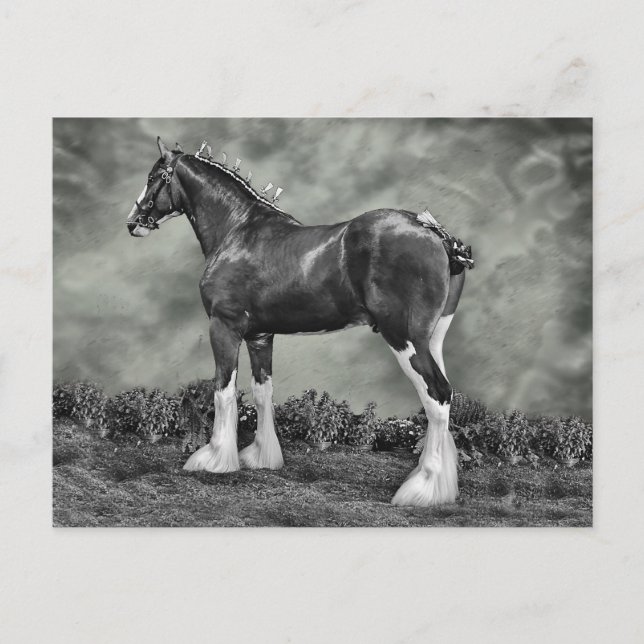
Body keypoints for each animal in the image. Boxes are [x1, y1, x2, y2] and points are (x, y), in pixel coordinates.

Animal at [126, 137, 474, 507]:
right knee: (443, 396)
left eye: (153, 177)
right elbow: (262, 392)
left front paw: (215, 458)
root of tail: (437, 236)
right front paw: (261, 457)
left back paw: (421, 488)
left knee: (436, 396)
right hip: (431, 340)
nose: (133, 222)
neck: (237, 231)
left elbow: (224, 390)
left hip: (404, 339)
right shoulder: (260, 336)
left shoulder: (224, 327)